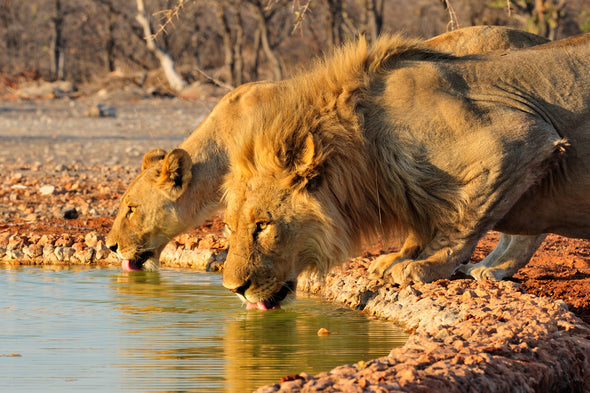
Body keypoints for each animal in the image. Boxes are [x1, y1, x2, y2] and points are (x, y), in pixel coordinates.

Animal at [222, 33, 590, 310]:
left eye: (262, 225)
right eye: (229, 226)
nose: (233, 288)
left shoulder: (519, 139)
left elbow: (461, 221)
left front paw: (425, 265)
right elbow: (425, 225)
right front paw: (396, 258)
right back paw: (491, 268)